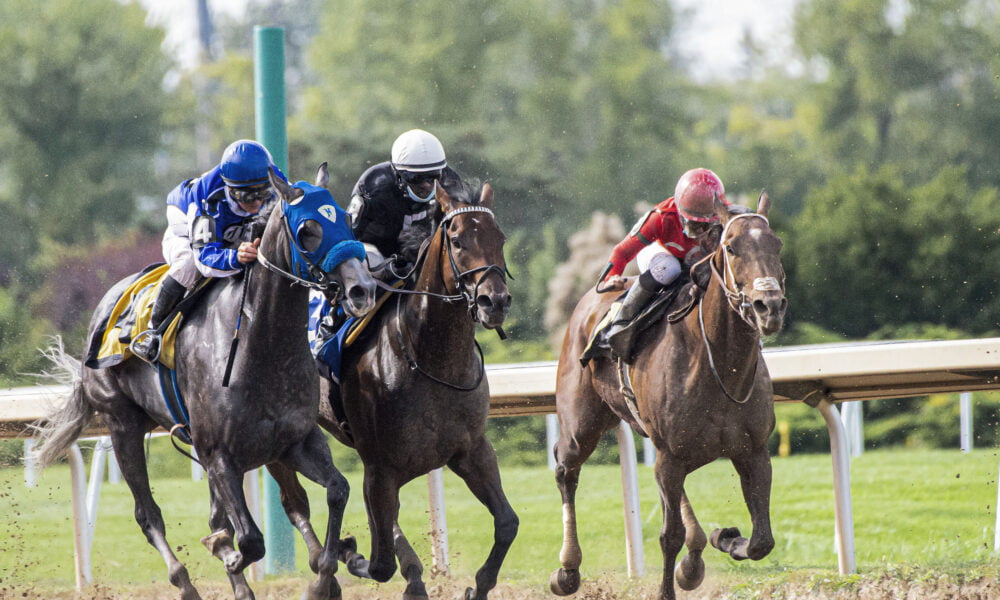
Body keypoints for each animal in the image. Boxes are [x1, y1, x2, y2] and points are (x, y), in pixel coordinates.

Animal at [32, 164, 377, 600]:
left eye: (347, 219)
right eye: (309, 229)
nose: (362, 290)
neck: (262, 345)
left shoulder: (294, 441)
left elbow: (336, 491)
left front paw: (328, 574)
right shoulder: (218, 453)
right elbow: (247, 539)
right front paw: (224, 551)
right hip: (122, 424)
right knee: (148, 514)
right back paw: (184, 582)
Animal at [267, 177, 518, 600]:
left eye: (498, 237)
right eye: (457, 240)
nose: (494, 301)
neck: (432, 360)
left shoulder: (472, 451)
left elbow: (507, 524)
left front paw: (475, 588)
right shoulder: (380, 469)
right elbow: (379, 562)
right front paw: (347, 554)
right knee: (295, 502)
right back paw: (324, 570)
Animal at [549, 193, 787, 600]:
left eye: (777, 245)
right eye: (732, 247)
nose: (768, 306)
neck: (718, 365)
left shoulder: (752, 451)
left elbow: (761, 541)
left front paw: (724, 536)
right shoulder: (671, 455)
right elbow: (668, 535)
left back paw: (693, 560)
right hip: (582, 423)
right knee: (567, 470)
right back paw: (567, 569)